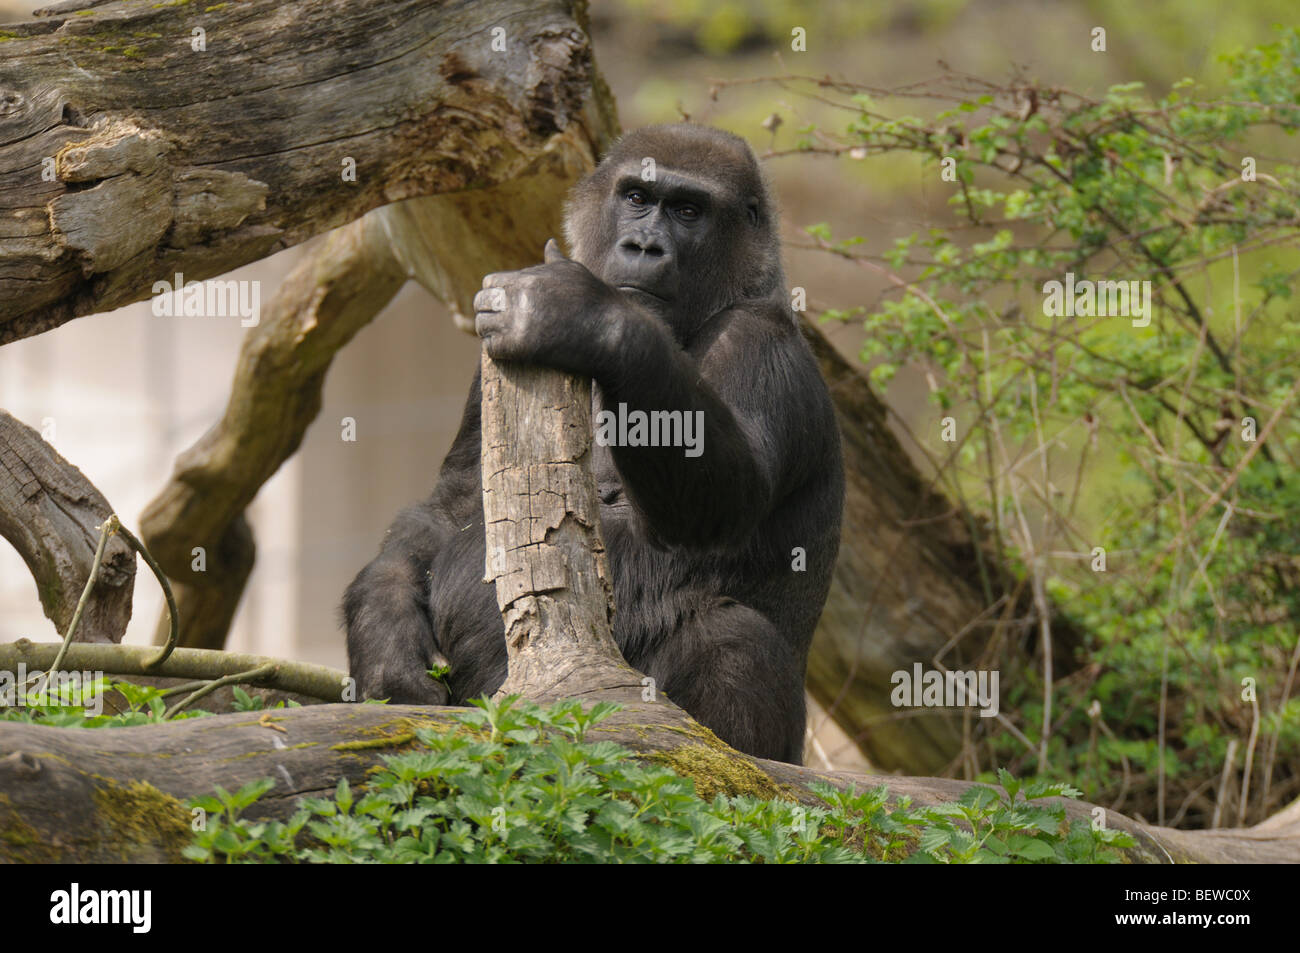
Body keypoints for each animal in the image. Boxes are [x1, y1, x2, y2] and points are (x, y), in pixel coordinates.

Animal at [345, 122, 847, 764]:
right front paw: (383, 629)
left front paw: (585, 317)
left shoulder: (761, 343)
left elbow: (721, 505)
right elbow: (451, 507)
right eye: (636, 197)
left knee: (732, 638)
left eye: (688, 211)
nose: (643, 247)